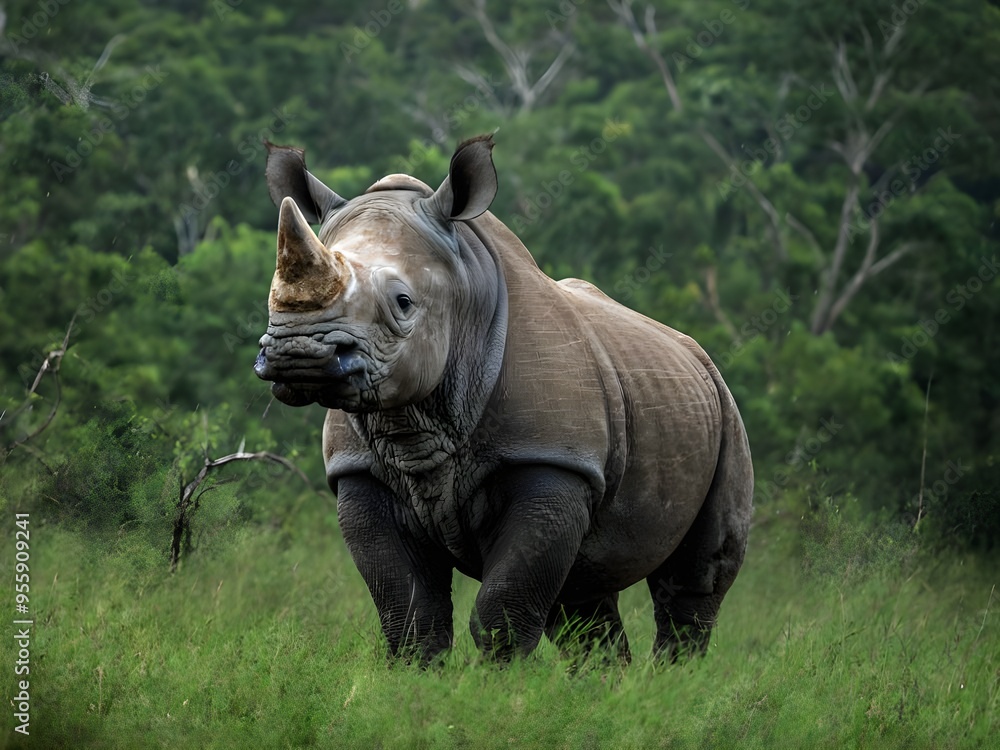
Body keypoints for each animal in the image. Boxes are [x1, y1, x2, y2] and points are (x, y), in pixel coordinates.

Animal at [254, 134, 753, 663]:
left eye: (403, 303)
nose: (299, 352)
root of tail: (695, 353)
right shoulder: (359, 471)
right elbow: (409, 615)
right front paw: (420, 678)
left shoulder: (552, 459)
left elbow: (504, 610)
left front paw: (501, 681)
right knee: (581, 597)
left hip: (723, 405)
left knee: (693, 580)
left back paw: (674, 678)